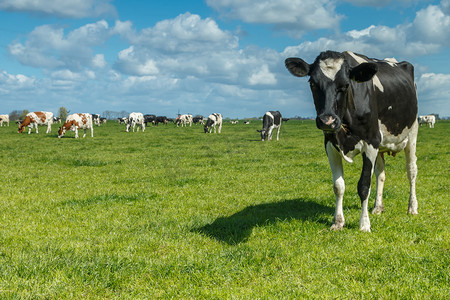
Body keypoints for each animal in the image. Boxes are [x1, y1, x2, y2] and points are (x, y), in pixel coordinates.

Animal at [286, 49, 420, 232]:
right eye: (312, 83)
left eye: (345, 85)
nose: (327, 120)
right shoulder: (330, 144)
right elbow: (338, 186)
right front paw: (338, 222)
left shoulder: (371, 142)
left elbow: (364, 185)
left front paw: (364, 224)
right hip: (381, 144)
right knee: (380, 173)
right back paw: (378, 207)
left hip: (412, 134)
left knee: (411, 171)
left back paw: (412, 207)